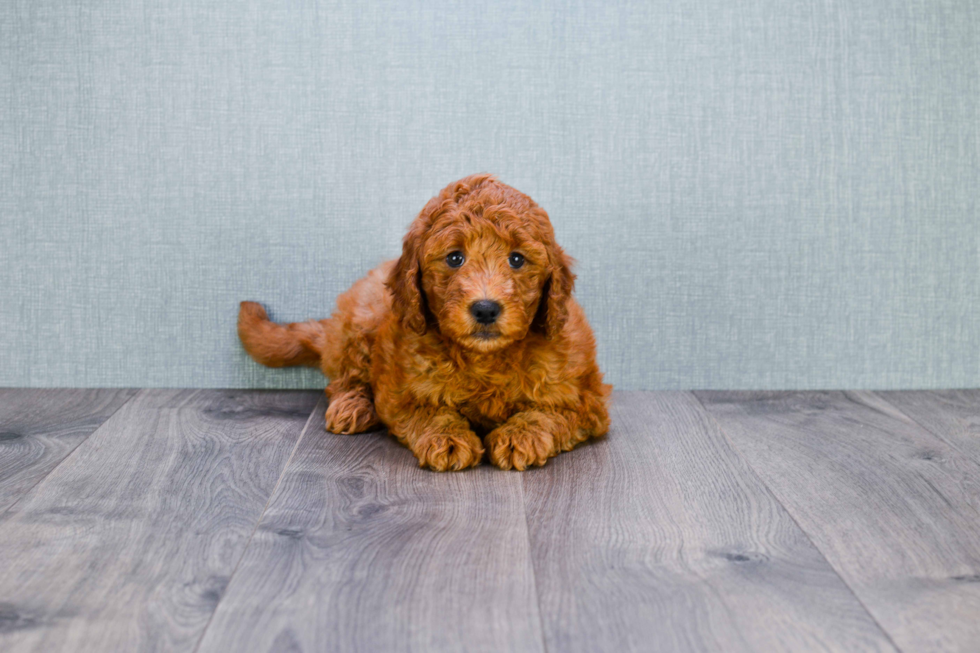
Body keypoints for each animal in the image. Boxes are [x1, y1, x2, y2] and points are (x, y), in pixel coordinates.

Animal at [241, 173, 608, 468]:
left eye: (517, 259)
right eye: (455, 258)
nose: (485, 309)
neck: (486, 360)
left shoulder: (585, 398)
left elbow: (548, 412)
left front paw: (521, 436)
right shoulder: (401, 388)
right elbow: (430, 411)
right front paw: (448, 439)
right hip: (359, 324)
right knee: (344, 378)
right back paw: (352, 407)